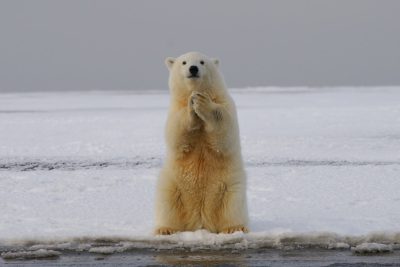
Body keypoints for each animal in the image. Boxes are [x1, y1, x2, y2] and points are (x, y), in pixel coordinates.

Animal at [155, 51, 248, 236]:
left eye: (202, 62)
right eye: (184, 62)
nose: (193, 68)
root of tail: (200, 221)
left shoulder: (225, 103)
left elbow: (225, 133)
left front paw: (202, 102)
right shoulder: (174, 109)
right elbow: (177, 135)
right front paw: (192, 106)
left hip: (229, 185)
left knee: (233, 204)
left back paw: (234, 227)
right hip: (173, 184)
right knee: (166, 201)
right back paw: (166, 229)